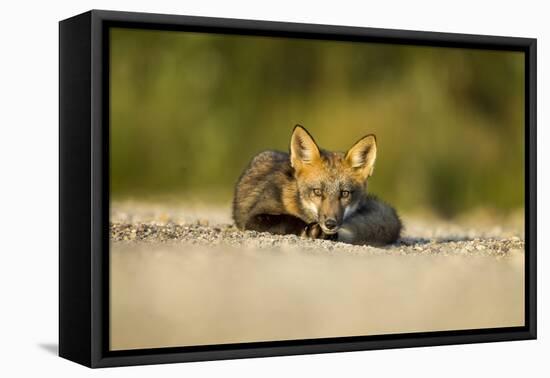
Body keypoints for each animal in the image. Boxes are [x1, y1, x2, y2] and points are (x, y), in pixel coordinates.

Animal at [231, 125, 404, 247]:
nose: (330, 224)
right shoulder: (253, 217)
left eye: (345, 193)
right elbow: (287, 220)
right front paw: (310, 230)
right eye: (317, 192)